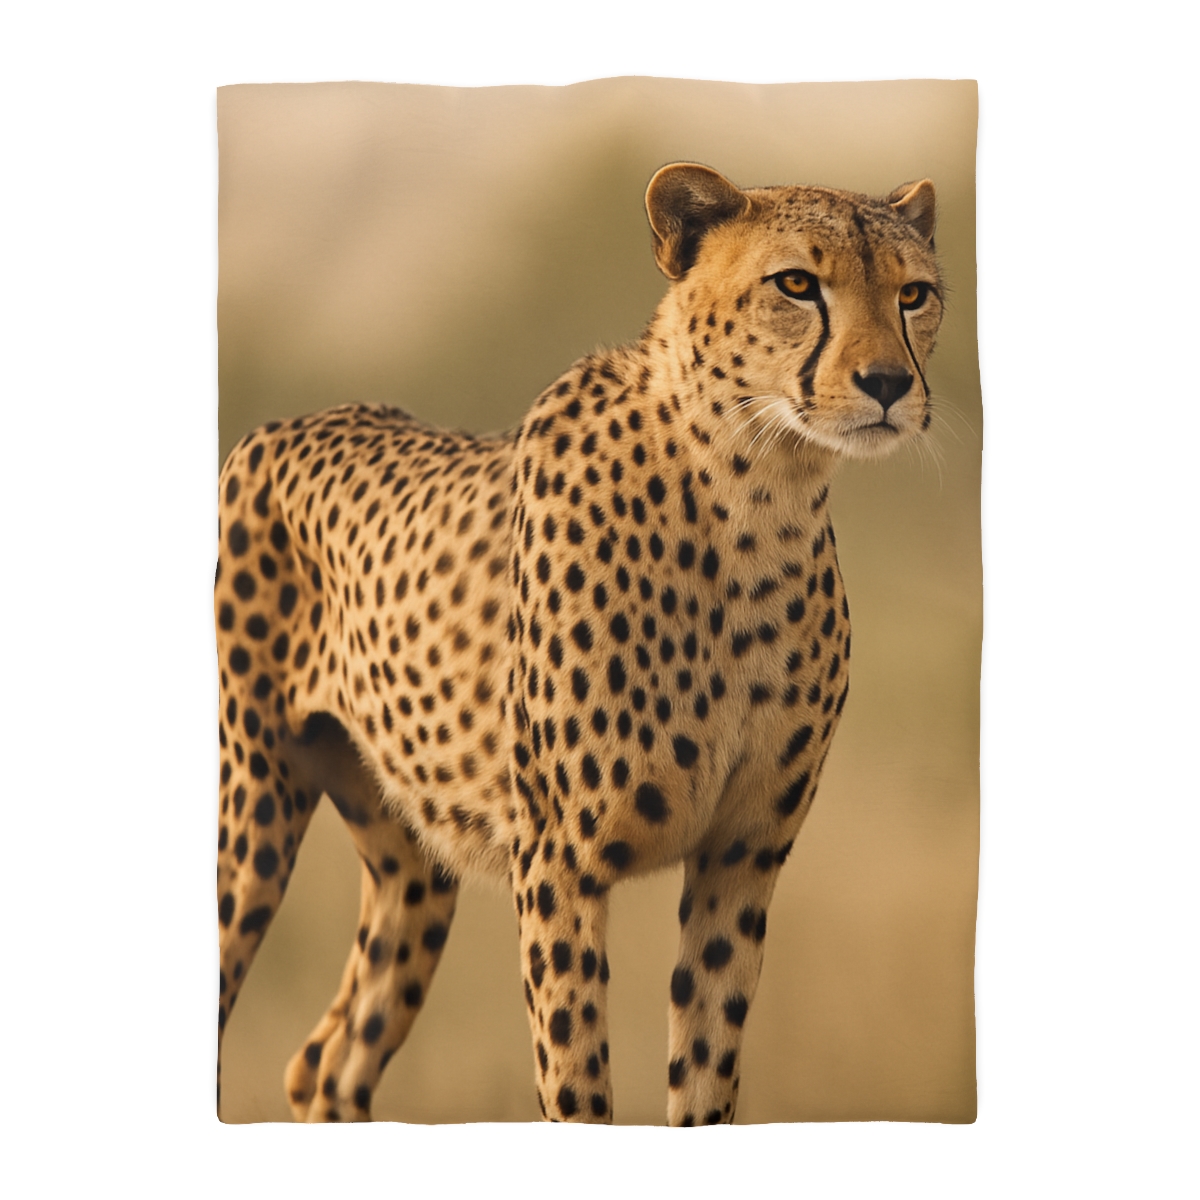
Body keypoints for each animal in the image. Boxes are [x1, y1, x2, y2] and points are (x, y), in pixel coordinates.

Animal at [215, 161, 943, 1125]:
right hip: (253, 810)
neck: (757, 496)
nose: (889, 382)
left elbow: (705, 1074)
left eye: (914, 293)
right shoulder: (559, 863)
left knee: (326, 1060)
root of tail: (285, 423)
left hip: (411, 861)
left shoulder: (742, 857)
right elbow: (577, 1082)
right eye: (796, 284)